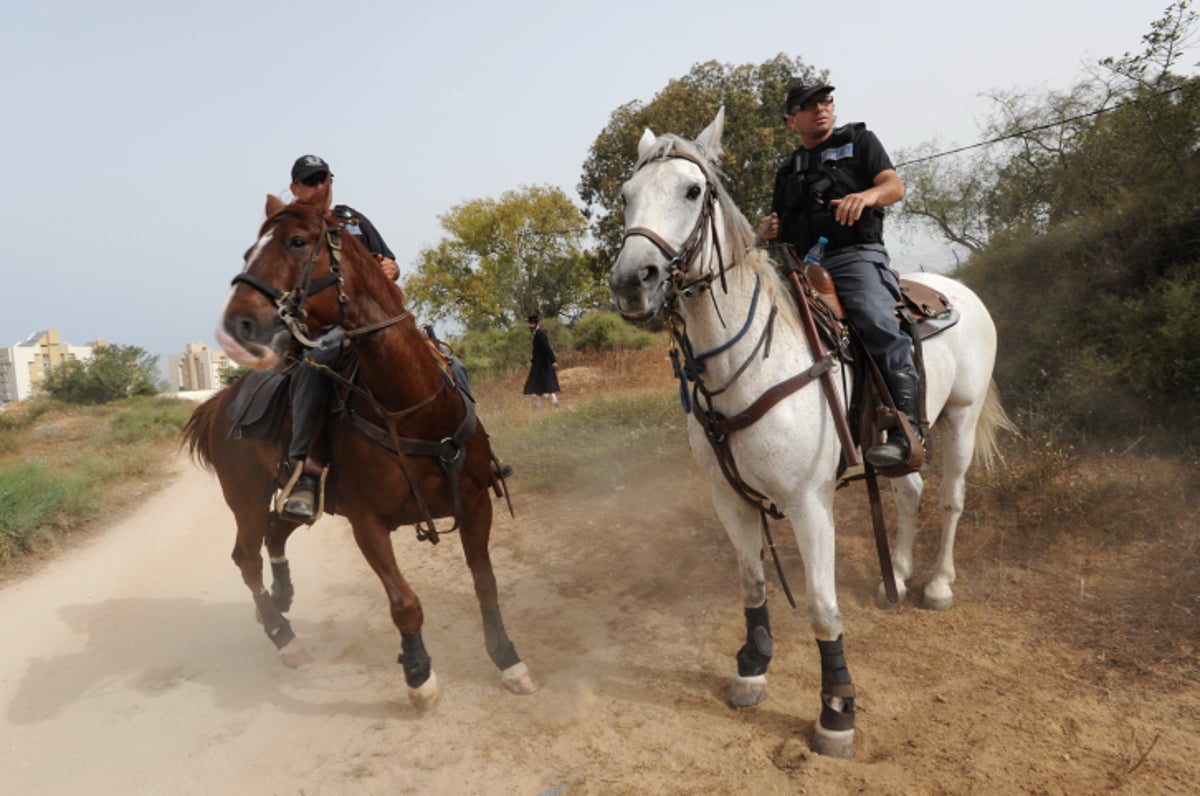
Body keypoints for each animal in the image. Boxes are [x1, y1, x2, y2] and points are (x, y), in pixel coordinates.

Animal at [178, 188, 535, 710]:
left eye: (297, 241)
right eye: (248, 252)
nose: (236, 325)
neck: (411, 408)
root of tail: (221, 401)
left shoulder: (473, 504)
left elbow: (486, 584)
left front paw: (509, 660)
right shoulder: (368, 523)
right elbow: (405, 603)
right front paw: (419, 675)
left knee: (275, 534)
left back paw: (282, 597)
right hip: (244, 497)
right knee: (246, 556)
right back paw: (283, 635)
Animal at [609, 107, 1012, 758]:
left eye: (692, 191)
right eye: (625, 195)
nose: (632, 281)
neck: (747, 362)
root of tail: (959, 291)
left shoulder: (807, 502)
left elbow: (823, 608)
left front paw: (837, 710)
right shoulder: (729, 498)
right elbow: (751, 583)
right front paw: (752, 667)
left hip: (961, 418)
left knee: (951, 499)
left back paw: (937, 586)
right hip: (903, 441)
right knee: (909, 490)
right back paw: (898, 574)